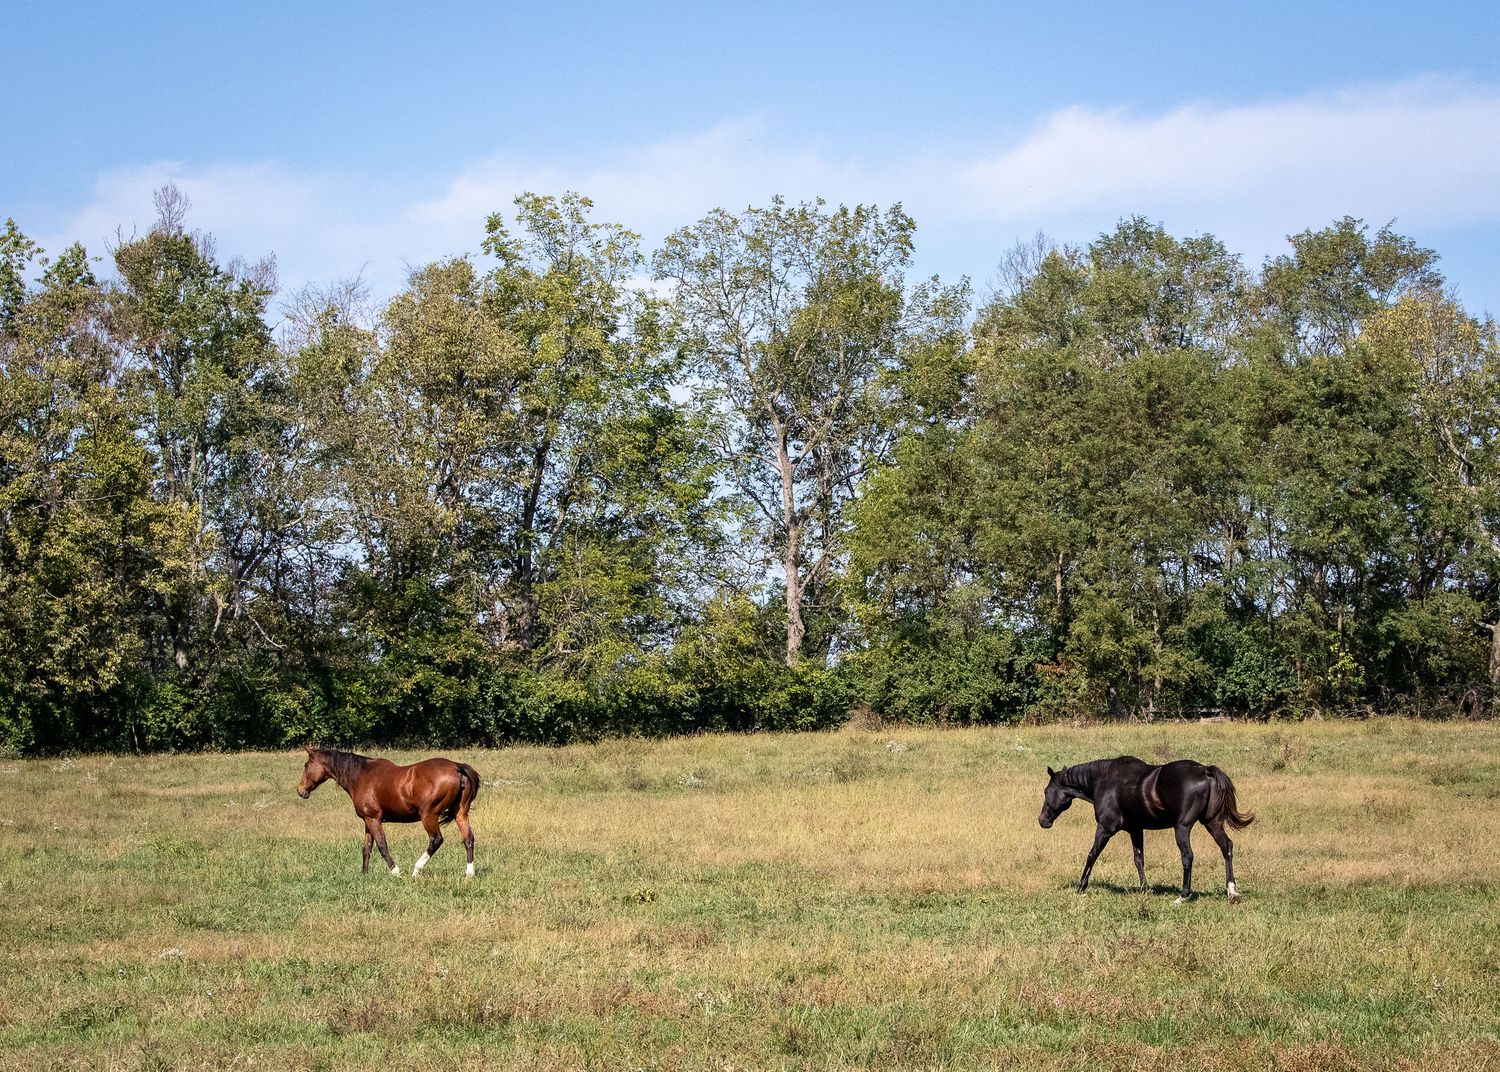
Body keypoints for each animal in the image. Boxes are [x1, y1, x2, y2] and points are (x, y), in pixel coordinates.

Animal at [296, 746, 481, 877]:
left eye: (306, 765)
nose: (300, 790)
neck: (362, 776)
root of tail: (457, 767)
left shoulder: (374, 819)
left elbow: (382, 846)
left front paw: (395, 871)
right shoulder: (367, 820)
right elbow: (366, 848)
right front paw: (364, 874)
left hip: (429, 816)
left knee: (436, 840)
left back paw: (416, 870)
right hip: (460, 814)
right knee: (468, 839)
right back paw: (469, 874)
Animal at [1038, 756, 1254, 903]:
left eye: (1046, 791)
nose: (1042, 820)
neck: (1104, 781)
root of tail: (1205, 771)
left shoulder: (1105, 828)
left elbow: (1092, 855)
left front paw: (1081, 886)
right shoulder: (1136, 830)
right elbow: (1139, 859)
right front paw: (1145, 889)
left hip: (1182, 827)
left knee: (1187, 856)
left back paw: (1183, 896)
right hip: (1212, 822)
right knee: (1226, 847)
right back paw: (1232, 892)